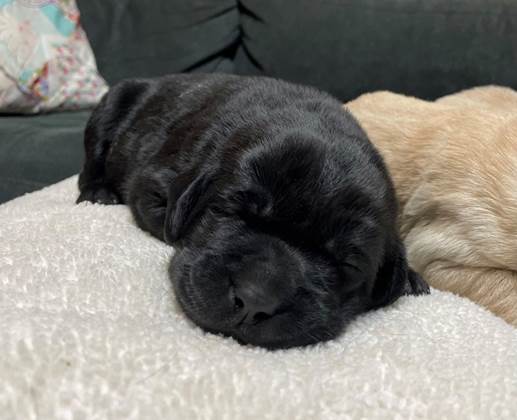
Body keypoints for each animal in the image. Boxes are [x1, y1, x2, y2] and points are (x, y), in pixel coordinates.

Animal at [75, 74, 428, 350]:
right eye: (231, 211)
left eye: (347, 264)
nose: (255, 299)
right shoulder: (152, 185)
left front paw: (410, 278)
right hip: (110, 106)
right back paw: (97, 193)